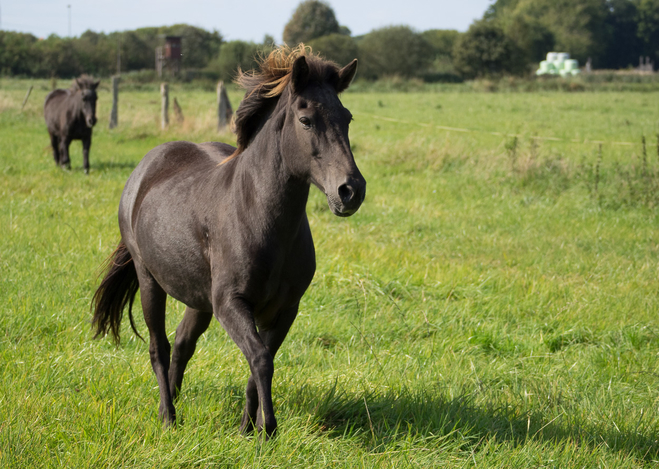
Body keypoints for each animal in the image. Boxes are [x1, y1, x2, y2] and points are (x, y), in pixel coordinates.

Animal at [91, 46, 366, 436]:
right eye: (306, 119)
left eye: (347, 118)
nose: (351, 190)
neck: (259, 218)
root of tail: (143, 170)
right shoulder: (230, 303)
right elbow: (261, 359)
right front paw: (268, 430)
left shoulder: (284, 309)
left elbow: (259, 362)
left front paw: (247, 428)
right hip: (150, 281)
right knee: (159, 347)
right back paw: (167, 416)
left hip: (198, 298)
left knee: (182, 344)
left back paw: (176, 401)